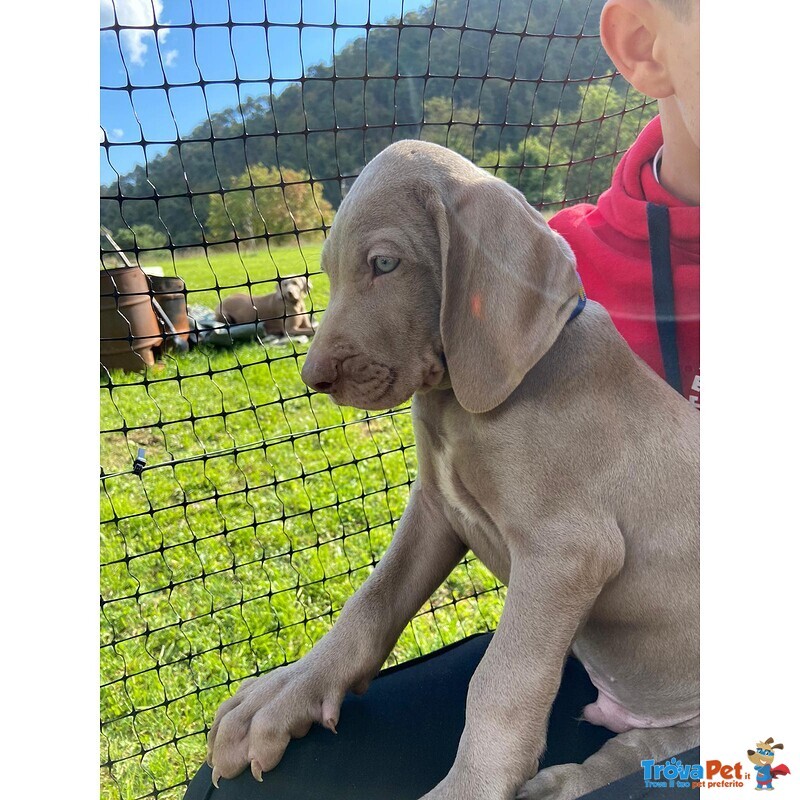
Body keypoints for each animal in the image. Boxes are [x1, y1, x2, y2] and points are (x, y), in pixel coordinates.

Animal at [206, 141, 700, 796]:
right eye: (328, 272)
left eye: (385, 263)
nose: (314, 378)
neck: (459, 402)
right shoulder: (436, 508)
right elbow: (372, 598)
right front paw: (290, 692)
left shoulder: (568, 550)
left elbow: (501, 680)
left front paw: (471, 786)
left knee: (652, 750)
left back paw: (563, 782)